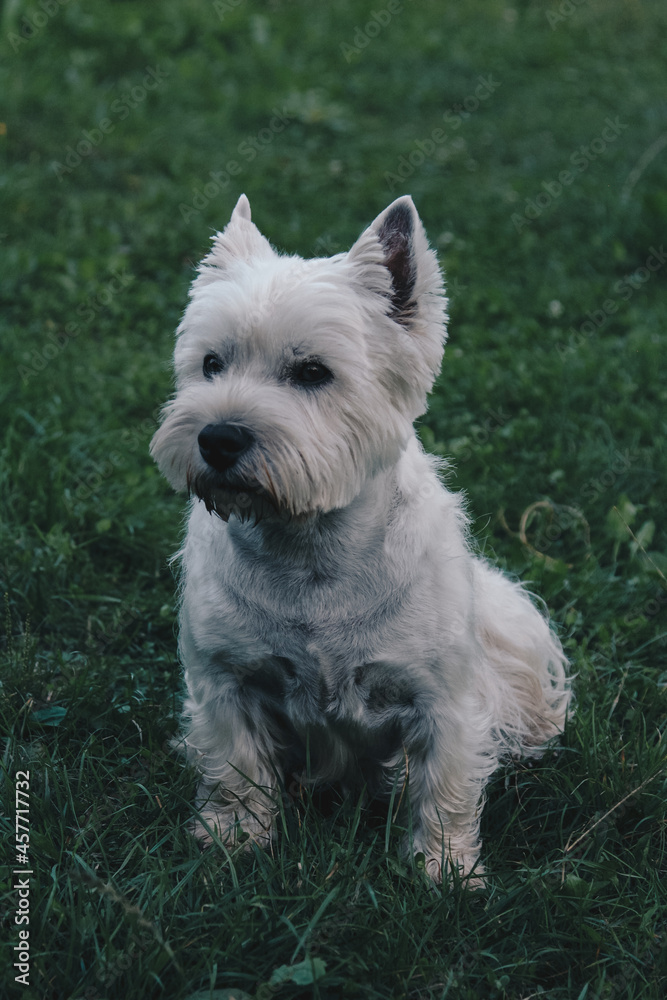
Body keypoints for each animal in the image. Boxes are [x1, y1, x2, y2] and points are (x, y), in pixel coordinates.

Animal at [153, 195, 576, 884]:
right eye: (211, 363)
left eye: (312, 371)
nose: (217, 438)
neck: (310, 552)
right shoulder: (225, 678)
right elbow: (236, 769)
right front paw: (233, 842)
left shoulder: (442, 698)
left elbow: (444, 788)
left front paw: (444, 873)